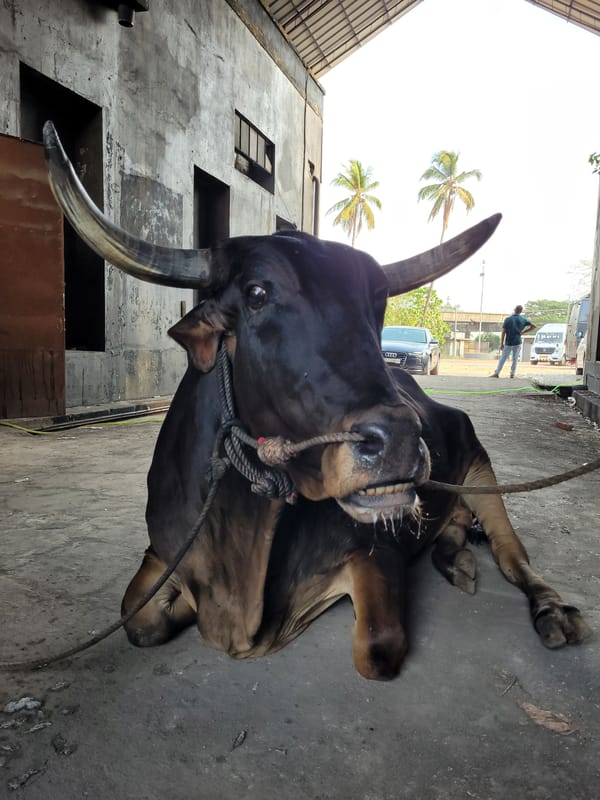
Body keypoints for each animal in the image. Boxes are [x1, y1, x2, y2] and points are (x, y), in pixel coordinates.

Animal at [43, 121, 590, 681]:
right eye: (256, 294)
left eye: (378, 300)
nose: (398, 441)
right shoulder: (163, 553)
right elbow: (139, 622)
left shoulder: (376, 552)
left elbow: (378, 649)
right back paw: (454, 557)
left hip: (482, 470)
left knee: (514, 555)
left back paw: (550, 610)